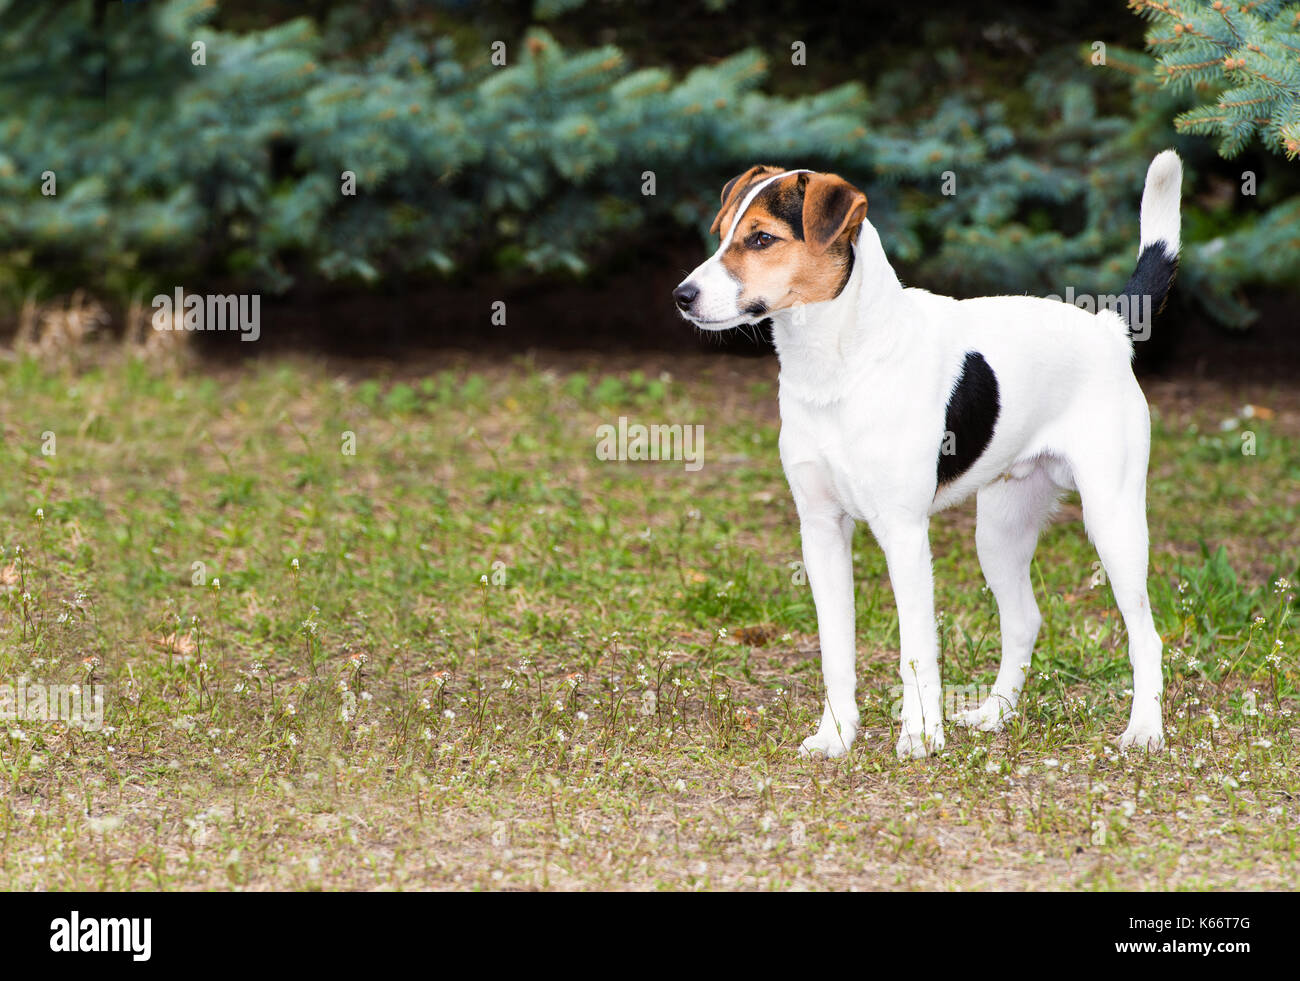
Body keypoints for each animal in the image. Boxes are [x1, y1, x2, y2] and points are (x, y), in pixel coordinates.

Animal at [676, 151, 1185, 758]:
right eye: (722, 234)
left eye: (760, 239)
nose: (682, 295)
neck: (840, 366)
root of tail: (1109, 329)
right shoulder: (820, 529)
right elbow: (835, 650)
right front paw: (836, 734)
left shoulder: (903, 533)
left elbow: (917, 650)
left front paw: (920, 734)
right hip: (1000, 531)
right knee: (1024, 620)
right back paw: (995, 714)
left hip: (1114, 520)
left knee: (1146, 635)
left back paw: (1145, 728)